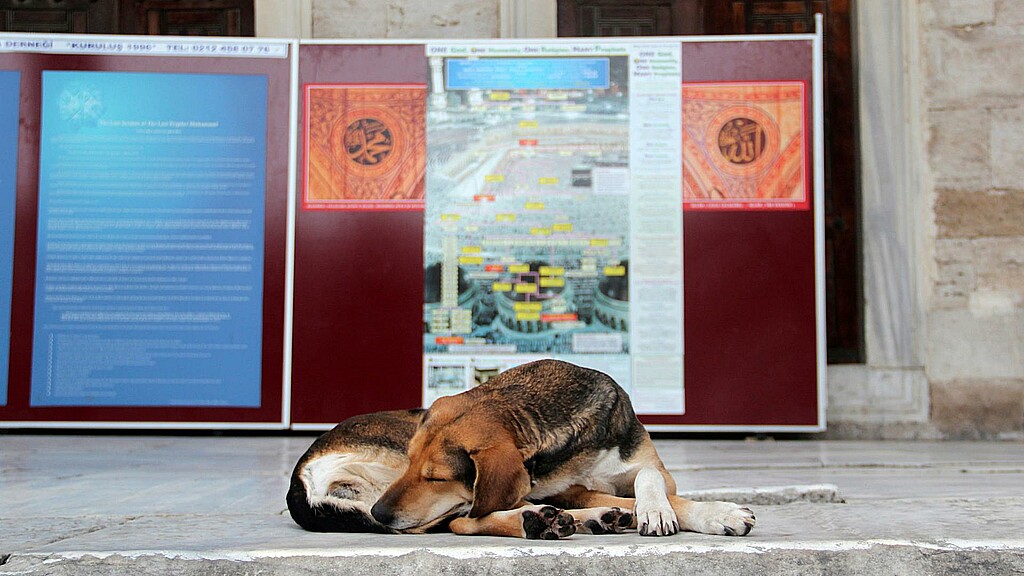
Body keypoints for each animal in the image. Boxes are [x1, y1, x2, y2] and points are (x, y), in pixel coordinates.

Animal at [286, 358, 753, 537]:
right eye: (412, 466)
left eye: (434, 476)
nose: (381, 512)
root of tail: (302, 472)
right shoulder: (567, 489)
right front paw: (715, 513)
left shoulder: (655, 469)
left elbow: (651, 479)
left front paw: (671, 510)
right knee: (464, 522)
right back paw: (553, 520)